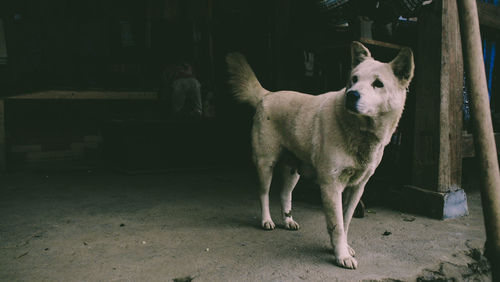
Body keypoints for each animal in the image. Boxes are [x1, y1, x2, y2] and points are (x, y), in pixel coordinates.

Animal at [227, 41, 414, 268]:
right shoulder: (331, 185)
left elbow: (346, 220)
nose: (351, 95)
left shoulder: (357, 188)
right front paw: (341, 255)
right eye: (354, 79)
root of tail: (267, 95)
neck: (359, 132)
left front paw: (343, 248)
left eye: (378, 84)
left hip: (293, 171)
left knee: (285, 194)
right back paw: (267, 221)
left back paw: (288, 220)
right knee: (263, 194)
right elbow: (337, 225)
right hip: (265, 164)